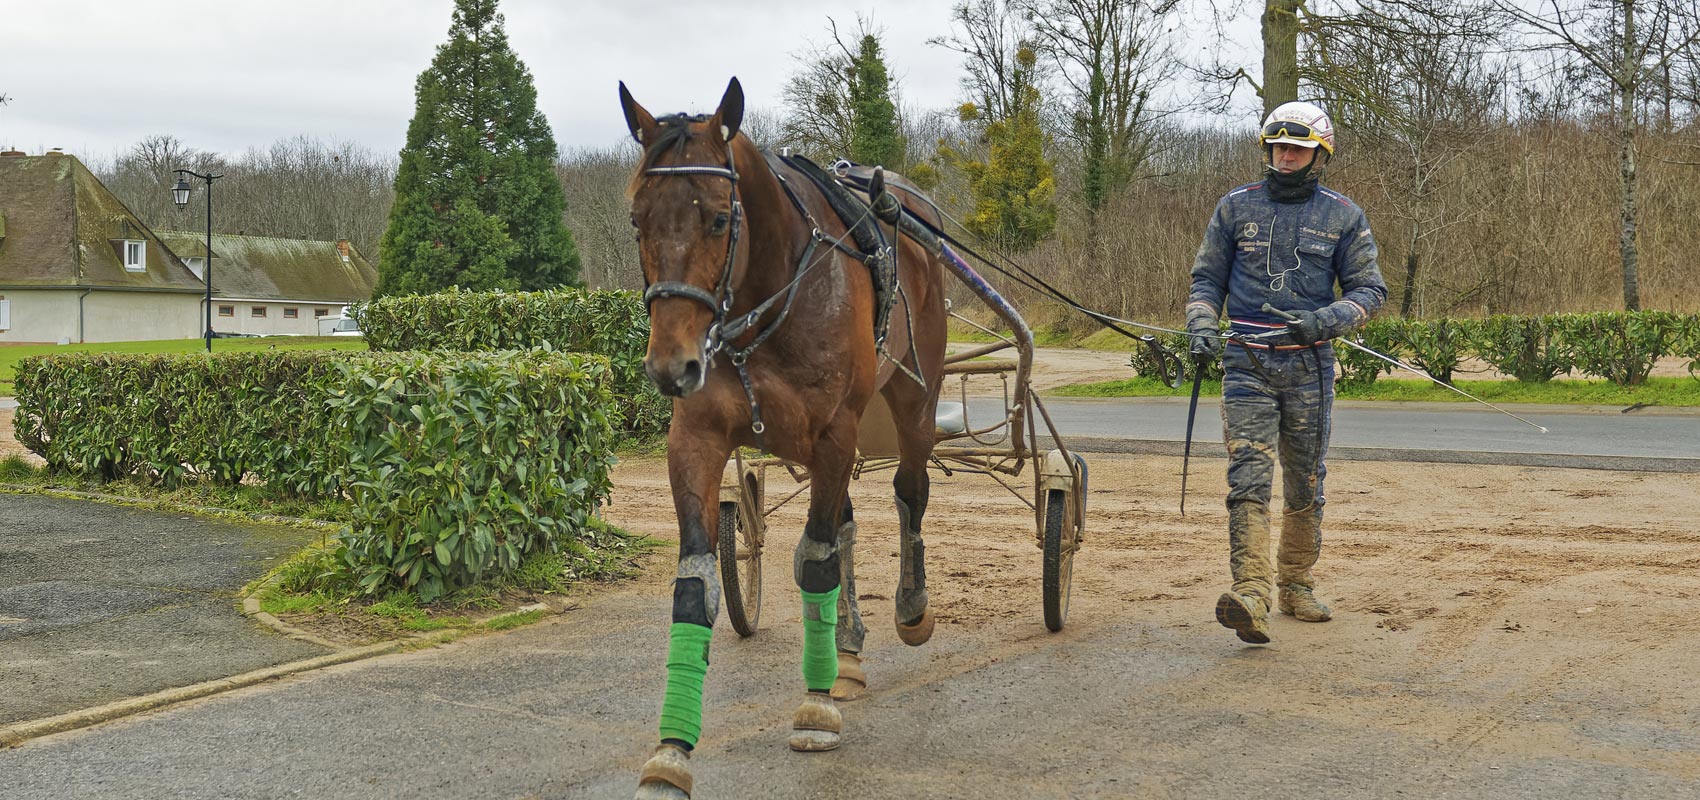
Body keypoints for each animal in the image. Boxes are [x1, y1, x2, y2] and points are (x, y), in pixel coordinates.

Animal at [622, 76, 952, 800]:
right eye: (637, 220)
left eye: (720, 218)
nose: (670, 365)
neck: (763, 303)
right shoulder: (697, 437)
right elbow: (697, 584)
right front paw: (671, 750)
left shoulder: (834, 434)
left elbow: (816, 559)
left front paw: (815, 705)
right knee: (848, 520)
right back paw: (846, 649)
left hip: (913, 396)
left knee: (909, 492)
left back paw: (909, 608)